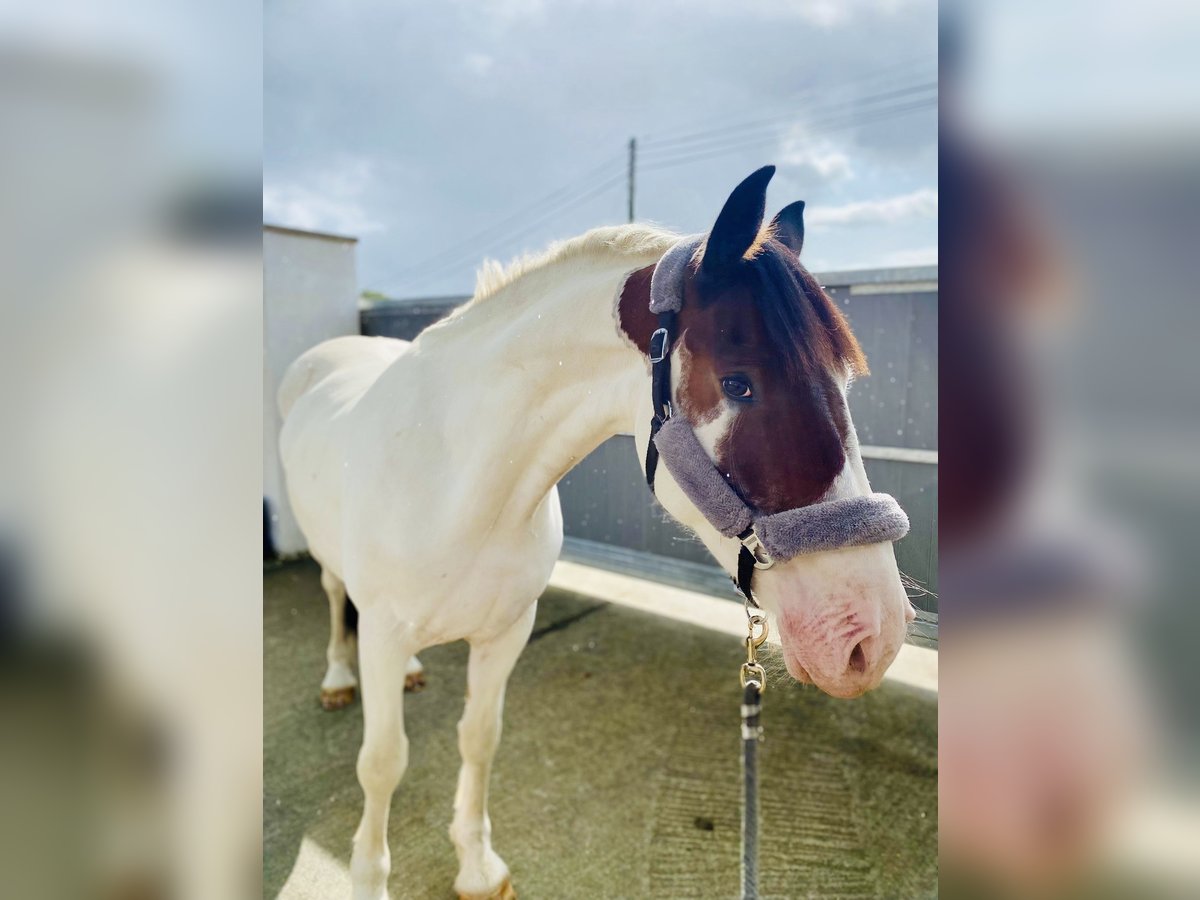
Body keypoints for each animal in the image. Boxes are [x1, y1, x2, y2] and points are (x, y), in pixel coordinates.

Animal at [276, 165, 907, 897]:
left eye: (844, 383)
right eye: (739, 384)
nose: (873, 637)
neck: (460, 481)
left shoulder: (506, 632)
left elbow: (479, 738)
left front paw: (477, 865)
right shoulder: (381, 632)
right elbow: (382, 763)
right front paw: (370, 875)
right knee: (332, 597)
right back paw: (335, 680)